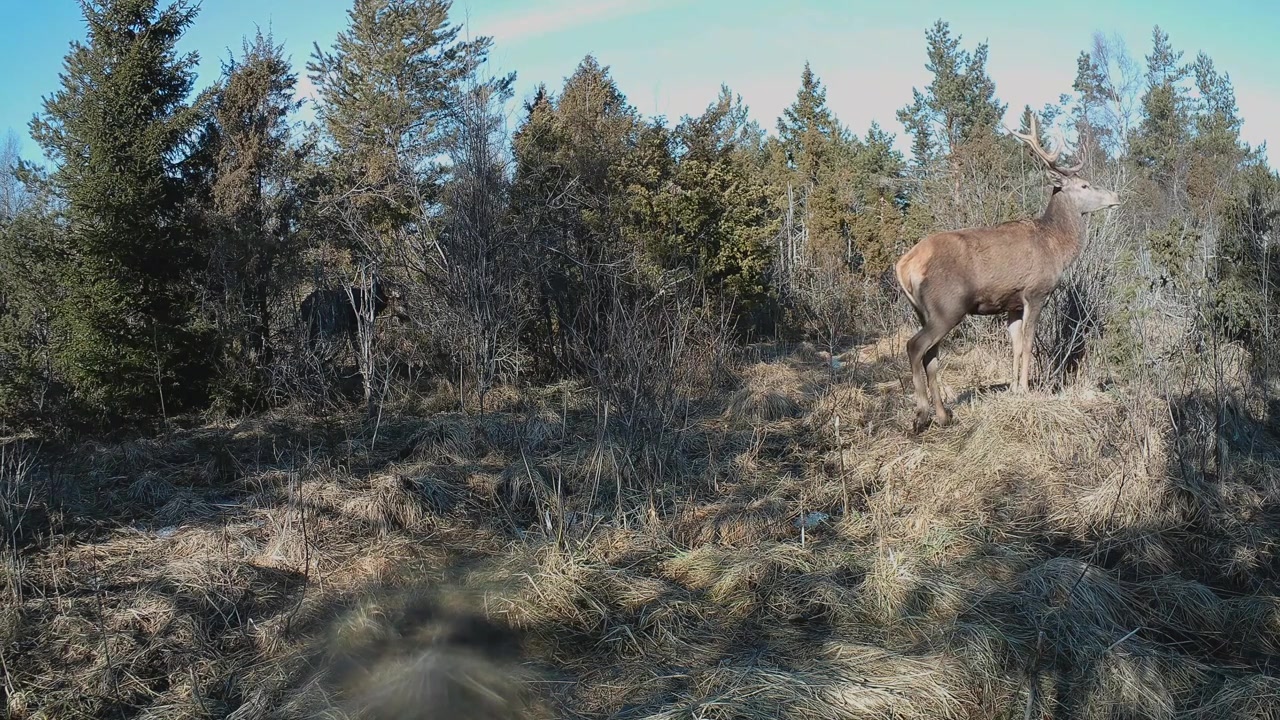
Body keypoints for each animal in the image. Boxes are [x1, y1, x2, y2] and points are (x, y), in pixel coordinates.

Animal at [894, 115, 1121, 434]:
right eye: (1085, 185)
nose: (1115, 195)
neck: (1056, 246)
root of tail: (905, 265)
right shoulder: (1036, 292)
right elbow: (1027, 342)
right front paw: (1026, 389)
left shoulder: (1011, 303)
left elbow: (1014, 345)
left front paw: (1013, 388)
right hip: (947, 306)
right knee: (915, 347)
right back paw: (922, 416)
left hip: (923, 311)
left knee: (931, 356)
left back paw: (944, 415)